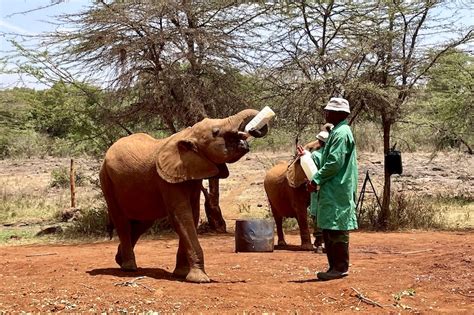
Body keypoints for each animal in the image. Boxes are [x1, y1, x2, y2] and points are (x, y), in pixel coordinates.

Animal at [98, 109, 268, 284]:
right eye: (216, 132)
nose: (253, 130)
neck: (188, 134)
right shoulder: (166, 179)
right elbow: (182, 216)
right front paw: (200, 279)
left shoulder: (192, 175)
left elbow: (192, 215)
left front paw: (181, 274)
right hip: (106, 180)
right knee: (121, 220)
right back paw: (129, 267)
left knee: (143, 222)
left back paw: (119, 259)